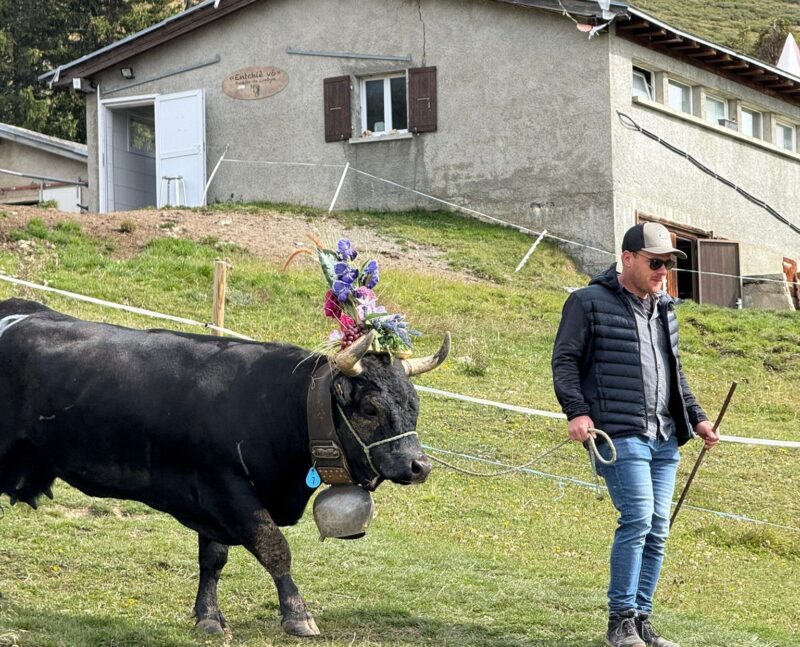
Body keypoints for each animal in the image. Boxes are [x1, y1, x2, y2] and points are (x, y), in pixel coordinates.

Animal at [0, 298, 450, 637]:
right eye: (371, 408)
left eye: (414, 402)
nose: (419, 465)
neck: (274, 404)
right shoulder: (227, 489)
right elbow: (275, 549)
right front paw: (298, 615)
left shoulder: (210, 504)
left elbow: (213, 560)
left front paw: (209, 618)